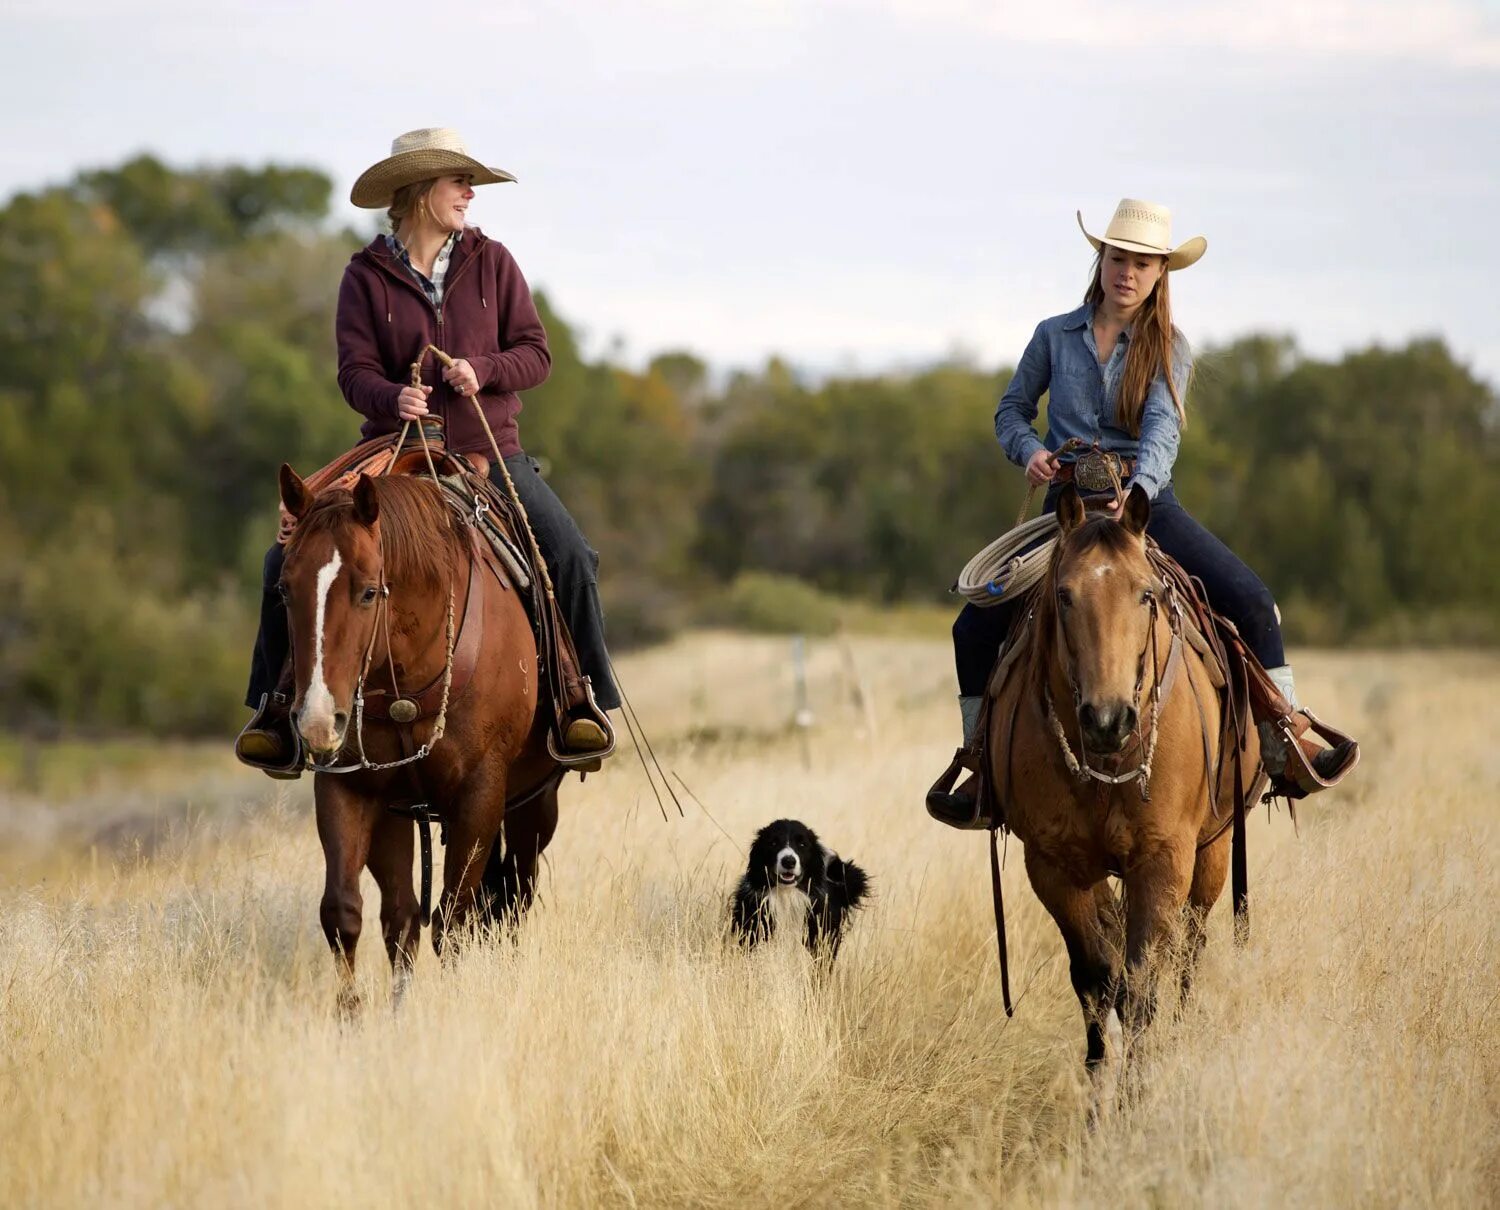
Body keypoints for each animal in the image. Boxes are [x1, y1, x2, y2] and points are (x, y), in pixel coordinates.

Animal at [277, 464, 564, 1013]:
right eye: (284, 589)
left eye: (370, 591)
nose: (318, 721)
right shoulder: (348, 784)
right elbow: (343, 912)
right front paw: (353, 1017)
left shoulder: (480, 793)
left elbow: (454, 919)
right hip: (398, 811)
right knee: (404, 915)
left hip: (534, 803)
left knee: (512, 897)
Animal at [990, 485, 1260, 1115]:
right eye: (1064, 595)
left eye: (1146, 594)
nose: (1108, 719)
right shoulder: (1055, 868)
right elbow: (1095, 980)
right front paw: (1096, 1106)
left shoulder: (1164, 860)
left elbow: (1141, 983)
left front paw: (1136, 1102)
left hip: (1213, 853)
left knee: (1187, 952)